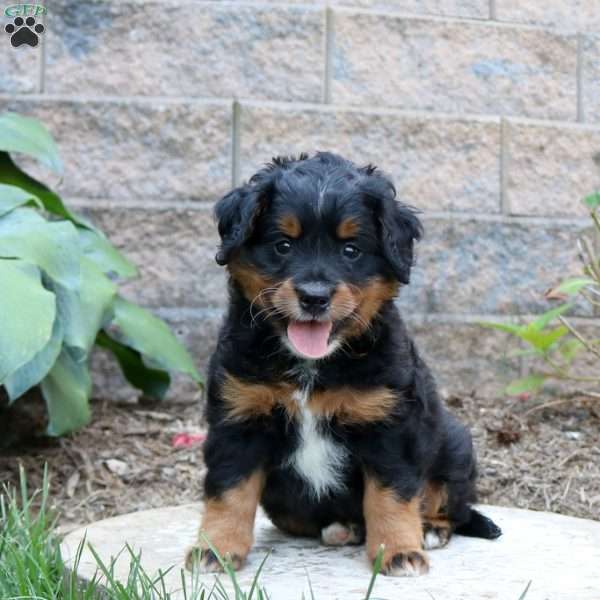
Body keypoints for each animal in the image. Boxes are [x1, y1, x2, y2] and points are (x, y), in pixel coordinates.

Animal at [185, 151, 500, 576]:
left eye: (351, 250)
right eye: (283, 245)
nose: (314, 297)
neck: (311, 366)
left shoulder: (388, 426)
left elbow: (390, 495)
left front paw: (399, 551)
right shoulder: (239, 419)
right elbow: (228, 492)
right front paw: (215, 549)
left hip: (454, 444)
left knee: (452, 503)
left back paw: (430, 529)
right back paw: (343, 528)